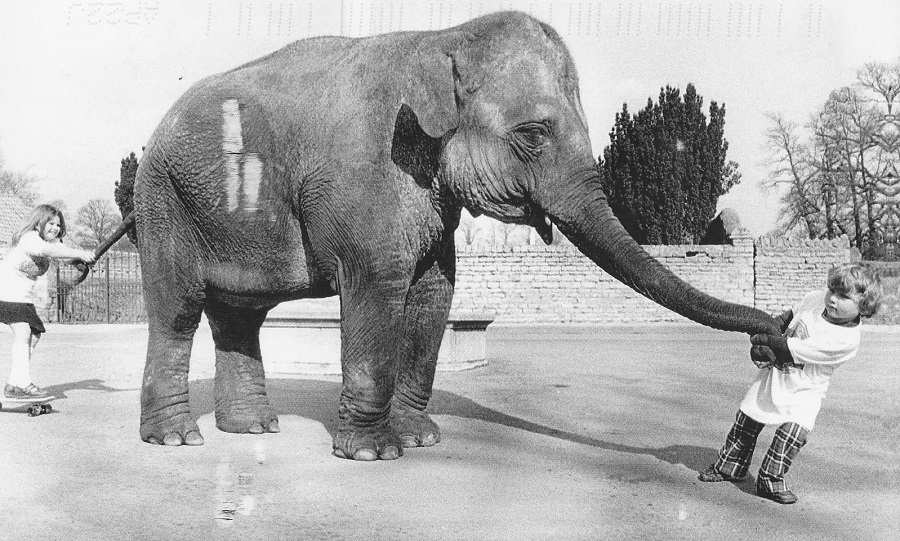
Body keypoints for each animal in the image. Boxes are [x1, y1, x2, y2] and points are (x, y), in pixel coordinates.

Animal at [125, 11, 779, 459]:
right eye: (534, 133)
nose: (772, 336)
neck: (440, 36)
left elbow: (434, 296)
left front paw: (422, 441)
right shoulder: (367, 181)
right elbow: (378, 290)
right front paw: (374, 453)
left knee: (239, 315)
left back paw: (253, 428)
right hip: (164, 201)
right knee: (179, 309)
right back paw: (178, 440)